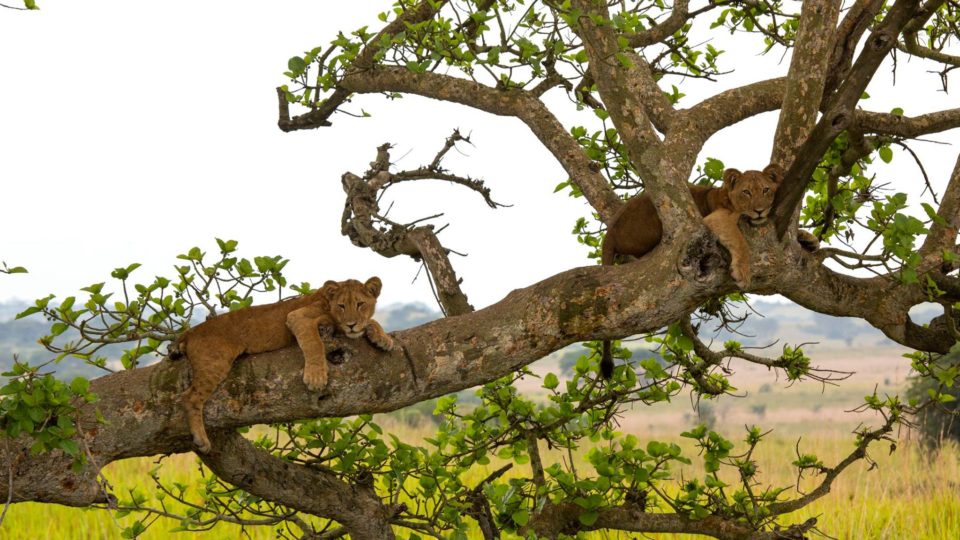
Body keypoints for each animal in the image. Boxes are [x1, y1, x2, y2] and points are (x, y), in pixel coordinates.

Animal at [169, 277, 394, 453]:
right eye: (342, 306)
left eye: (360, 304)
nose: (351, 324)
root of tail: (191, 331)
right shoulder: (298, 317)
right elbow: (314, 343)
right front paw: (316, 378)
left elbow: (371, 322)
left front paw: (383, 339)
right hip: (215, 362)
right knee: (190, 397)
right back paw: (201, 440)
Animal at [599, 164, 799, 379]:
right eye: (746, 192)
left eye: (765, 190)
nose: (759, 211)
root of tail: (610, 232)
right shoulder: (718, 218)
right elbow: (740, 241)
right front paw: (742, 274)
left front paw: (809, 241)